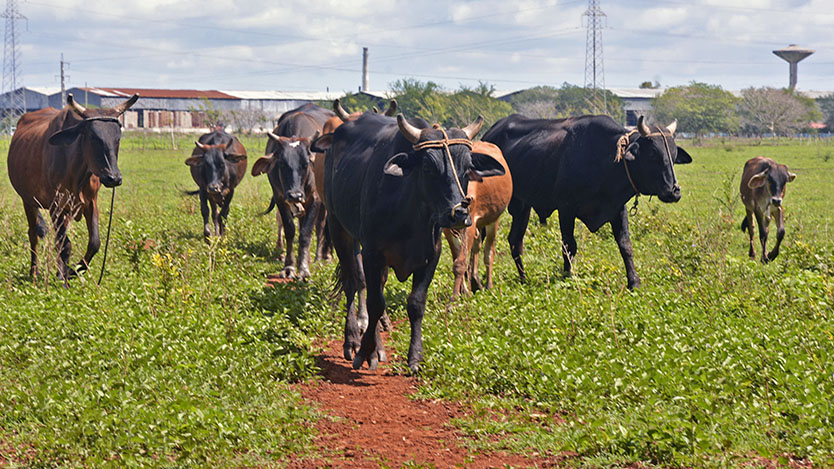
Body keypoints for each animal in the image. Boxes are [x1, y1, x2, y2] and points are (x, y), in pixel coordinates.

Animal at [6, 93, 138, 280]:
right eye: (93, 137)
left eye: (117, 139)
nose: (113, 178)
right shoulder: (55, 205)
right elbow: (64, 244)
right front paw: (66, 275)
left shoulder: (90, 202)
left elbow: (94, 243)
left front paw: (70, 271)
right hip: (28, 201)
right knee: (33, 235)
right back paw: (34, 272)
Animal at [252, 103, 334, 278]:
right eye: (282, 163)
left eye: (306, 163)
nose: (295, 195)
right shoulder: (280, 198)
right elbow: (290, 230)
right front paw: (289, 266)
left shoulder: (315, 198)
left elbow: (306, 233)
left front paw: (303, 269)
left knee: (320, 227)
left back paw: (318, 258)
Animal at [316, 111, 500, 372]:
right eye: (428, 166)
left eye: (467, 167)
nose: (459, 214)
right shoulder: (371, 253)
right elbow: (375, 303)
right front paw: (365, 351)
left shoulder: (431, 256)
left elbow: (415, 304)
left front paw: (414, 356)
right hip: (338, 227)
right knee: (353, 284)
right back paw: (353, 340)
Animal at [442, 141, 512, 298]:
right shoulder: (446, 229)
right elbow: (457, 258)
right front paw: (465, 292)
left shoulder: (471, 222)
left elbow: (460, 262)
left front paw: (455, 298)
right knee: (477, 245)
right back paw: (475, 282)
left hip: (493, 219)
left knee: (489, 251)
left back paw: (488, 285)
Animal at [478, 113, 692, 288]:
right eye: (653, 154)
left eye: (673, 155)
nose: (674, 191)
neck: (605, 160)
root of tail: (488, 135)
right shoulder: (566, 208)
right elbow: (569, 246)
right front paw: (567, 277)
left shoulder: (617, 209)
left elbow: (626, 245)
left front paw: (634, 282)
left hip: (523, 206)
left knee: (515, 241)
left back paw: (523, 279)